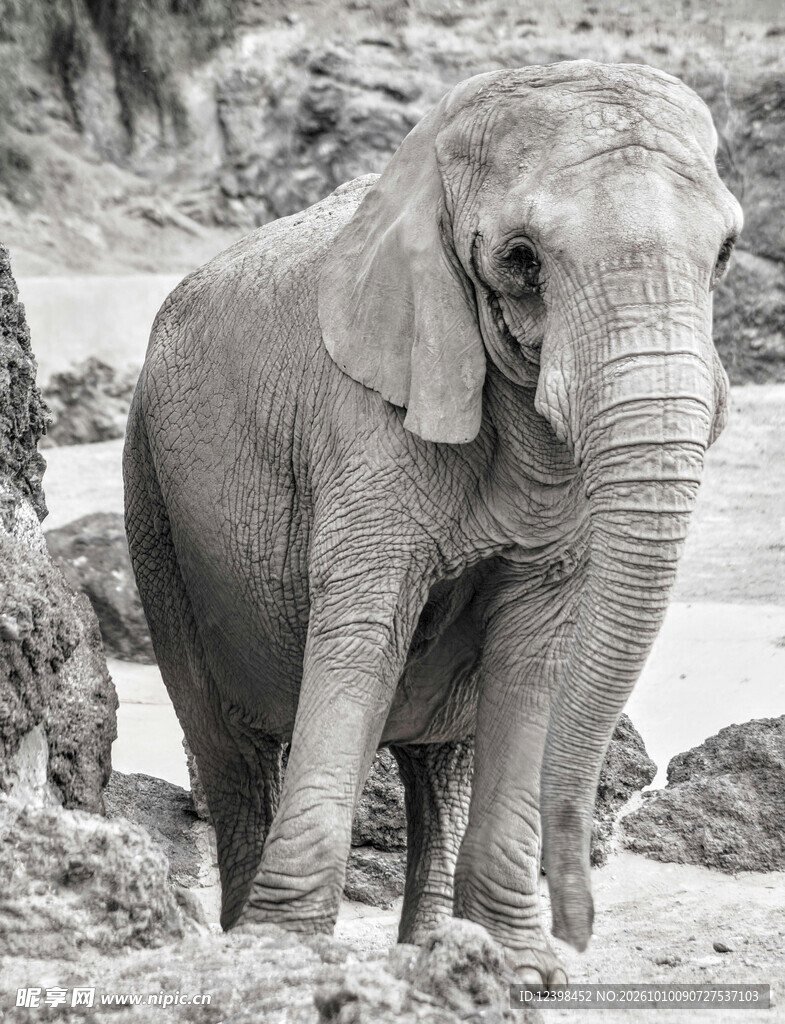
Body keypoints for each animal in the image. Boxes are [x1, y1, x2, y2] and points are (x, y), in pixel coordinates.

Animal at [124, 59, 742, 987]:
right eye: (520, 261)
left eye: (727, 253)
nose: (580, 932)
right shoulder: (358, 422)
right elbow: (360, 635)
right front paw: (288, 958)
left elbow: (532, 654)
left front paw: (521, 971)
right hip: (154, 501)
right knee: (233, 755)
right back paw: (250, 944)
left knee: (441, 761)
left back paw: (440, 958)